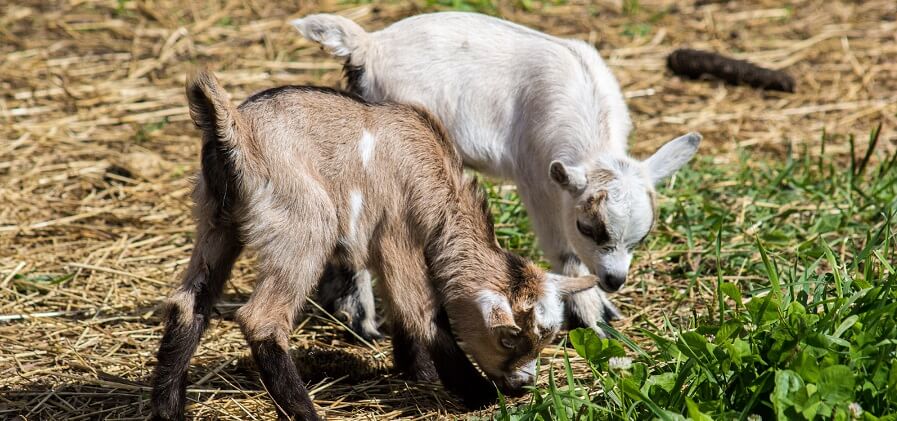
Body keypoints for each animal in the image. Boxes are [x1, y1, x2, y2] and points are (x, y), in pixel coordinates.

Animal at [150, 70, 600, 418]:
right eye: (508, 338)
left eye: (547, 338)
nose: (522, 385)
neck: (432, 172)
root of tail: (236, 132)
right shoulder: (396, 232)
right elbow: (422, 311)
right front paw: (476, 395)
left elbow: (400, 309)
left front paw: (417, 372)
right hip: (303, 225)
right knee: (262, 318)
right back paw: (306, 413)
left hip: (216, 223)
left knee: (188, 305)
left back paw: (167, 409)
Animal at [294, 11, 700, 336]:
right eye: (587, 227)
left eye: (642, 236)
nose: (615, 280)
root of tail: (368, 45)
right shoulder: (537, 177)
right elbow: (564, 250)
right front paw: (590, 315)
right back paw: (364, 318)